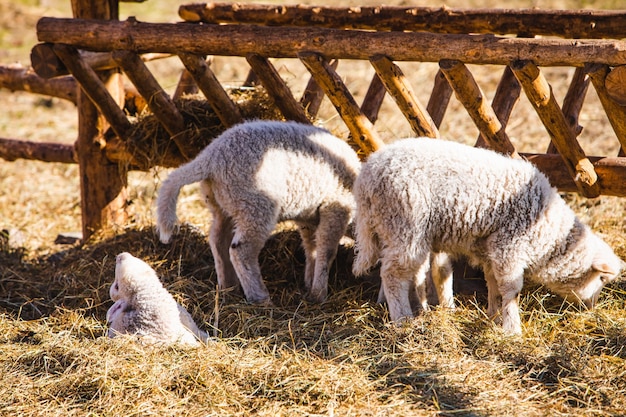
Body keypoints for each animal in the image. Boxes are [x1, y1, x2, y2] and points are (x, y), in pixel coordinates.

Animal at [156, 118, 360, 304]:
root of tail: (210, 158)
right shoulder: (336, 207)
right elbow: (327, 250)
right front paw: (319, 294)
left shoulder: (308, 218)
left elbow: (312, 248)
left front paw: (310, 284)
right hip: (256, 204)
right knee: (241, 251)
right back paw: (260, 298)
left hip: (224, 204)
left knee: (218, 240)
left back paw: (228, 288)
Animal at [352, 138, 620, 334]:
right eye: (601, 280)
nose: (591, 308)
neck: (548, 234)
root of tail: (367, 178)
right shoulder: (509, 246)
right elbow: (512, 289)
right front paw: (512, 328)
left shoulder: (493, 250)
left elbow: (493, 283)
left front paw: (493, 315)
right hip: (405, 223)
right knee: (392, 275)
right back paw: (402, 319)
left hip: (396, 230)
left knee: (408, 272)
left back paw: (419, 309)